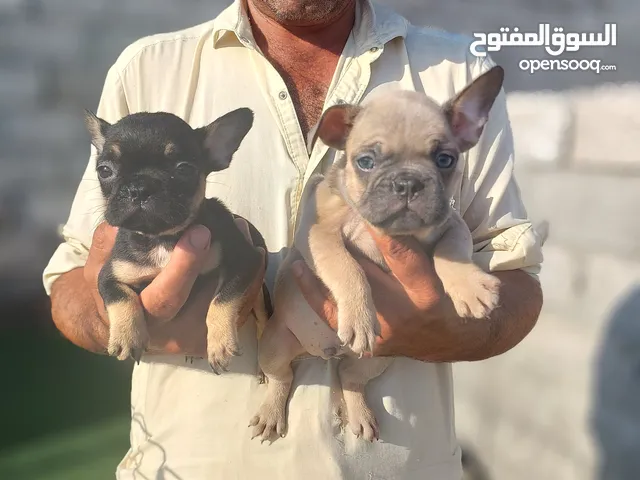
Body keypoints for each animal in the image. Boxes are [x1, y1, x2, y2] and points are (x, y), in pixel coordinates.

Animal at [84, 107, 266, 374]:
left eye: (183, 170)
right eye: (104, 171)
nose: (139, 188)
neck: (162, 238)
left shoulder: (243, 261)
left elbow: (222, 300)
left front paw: (220, 343)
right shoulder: (111, 273)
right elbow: (119, 296)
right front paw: (126, 336)